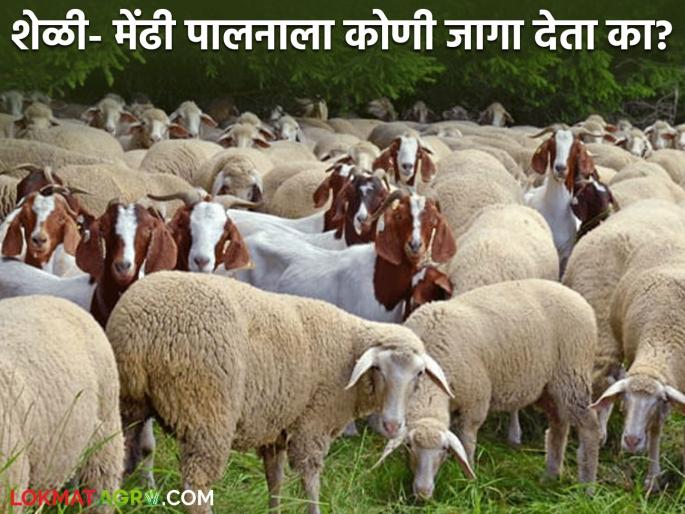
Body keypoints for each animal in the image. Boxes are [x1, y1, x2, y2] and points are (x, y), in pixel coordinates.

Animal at [106, 270, 452, 514]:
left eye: (419, 374)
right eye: (379, 369)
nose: (393, 425)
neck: (350, 347)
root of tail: (142, 334)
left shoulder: (277, 428)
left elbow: (276, 480)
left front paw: (276, 508)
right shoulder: (312, 425)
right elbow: (310, 482)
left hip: (128, 405)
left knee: (121, 461)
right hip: (206, 412)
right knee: (196, 486)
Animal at [378, 279, 600, 498]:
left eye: (444, 449)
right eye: (410, 447)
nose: (423, 493)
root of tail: (576, 296)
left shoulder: (475, 402)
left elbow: (466, 441)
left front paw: (468, 481)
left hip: (572, 374)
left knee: (589, 427)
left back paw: (587, 486)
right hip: (548, 387)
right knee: (559, 424)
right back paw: (550, 476)